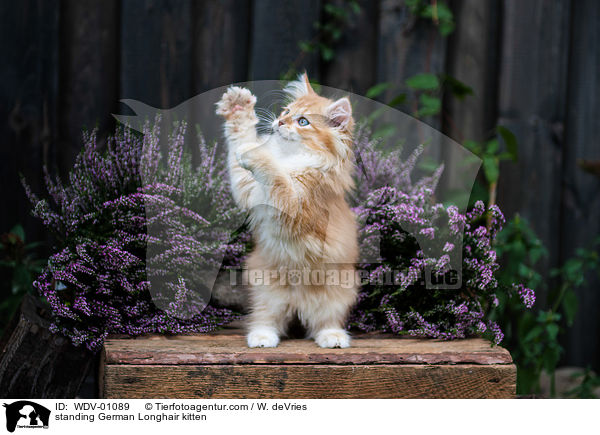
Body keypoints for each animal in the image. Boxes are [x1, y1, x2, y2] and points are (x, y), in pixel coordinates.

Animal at [214, 73, 356, 350]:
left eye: (303, 122)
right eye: (287, 111)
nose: (280, 121)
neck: (291, 159)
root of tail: (298, 304)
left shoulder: (296, 209)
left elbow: (276, 176)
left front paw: (255, 155)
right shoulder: (248, 188)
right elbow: (240, 140)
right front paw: (238, 108)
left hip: (337, 293)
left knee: (324, 321)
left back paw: (333, 337)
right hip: (267, 291)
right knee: (267, 318)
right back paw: (262, 338)